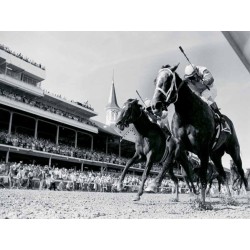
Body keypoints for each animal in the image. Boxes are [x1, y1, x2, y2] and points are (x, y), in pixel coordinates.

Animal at [150, 64, 248, 205]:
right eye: (155, 81)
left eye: (168, 80)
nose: (155, 105)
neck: (188, 113)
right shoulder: (179, 144)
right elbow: (171, 162)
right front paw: (154, 184)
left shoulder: (203, 148)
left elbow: (202, 176)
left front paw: (202, 201)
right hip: (215, 155)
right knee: (223, 174)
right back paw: (229, 197)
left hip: (233, 150)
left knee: (240, 171)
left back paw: (246, 192)